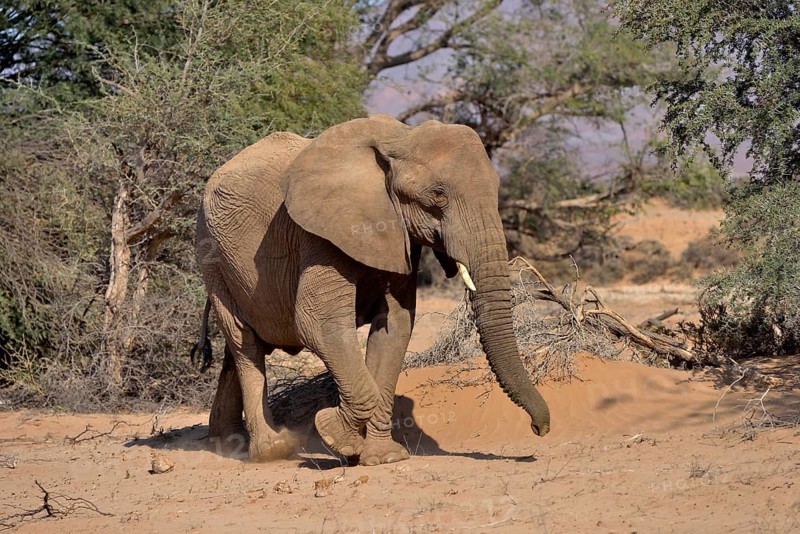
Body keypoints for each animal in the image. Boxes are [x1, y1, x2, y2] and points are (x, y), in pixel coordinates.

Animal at [193, 114, 550, 464]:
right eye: (438, 194)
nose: (539, 428)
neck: (400, 139)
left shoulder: (399, 237)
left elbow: (394, 328)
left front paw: (383, 457)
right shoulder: (319, 234)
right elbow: (319, 325)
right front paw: (333, 434)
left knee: (237, 346)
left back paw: (226, 442)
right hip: (212, 254)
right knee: (244, 341)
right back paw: (271, 449)